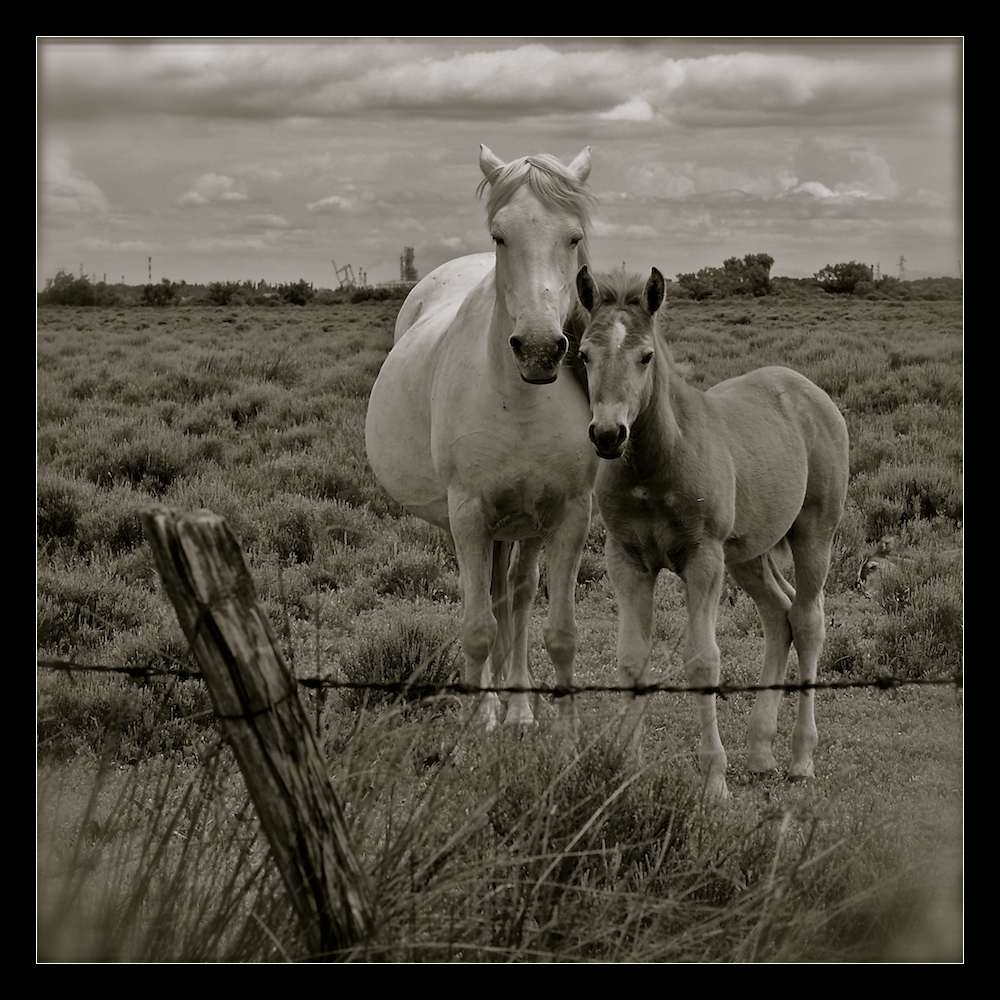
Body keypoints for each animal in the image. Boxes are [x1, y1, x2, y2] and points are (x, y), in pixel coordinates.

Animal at [368, 145, 600, 732]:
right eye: (500, 236)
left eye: (573, 237)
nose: (539, 349)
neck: (520, 401)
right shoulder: (469, 514)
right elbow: (476, 627)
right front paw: (476, 723)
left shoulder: (570, 514)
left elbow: (559, 632)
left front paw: (566, 731)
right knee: (492, 602)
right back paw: (494, 704)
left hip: (528, 525)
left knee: (515, 597)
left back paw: (516, 704)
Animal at [576, 266, 848, 796]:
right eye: (582, 353)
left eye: (646, 355)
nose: (608, 434)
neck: (652, 465)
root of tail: (810, 391)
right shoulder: (626, 560)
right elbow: (632, 659)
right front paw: (625, 768)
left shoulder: (703, 559)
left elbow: (703, 660)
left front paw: (714, 780)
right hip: (747, 556)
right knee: (779, 616)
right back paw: (760, 751)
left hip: (813, 535)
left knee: (808, 622)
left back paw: (801, 757)